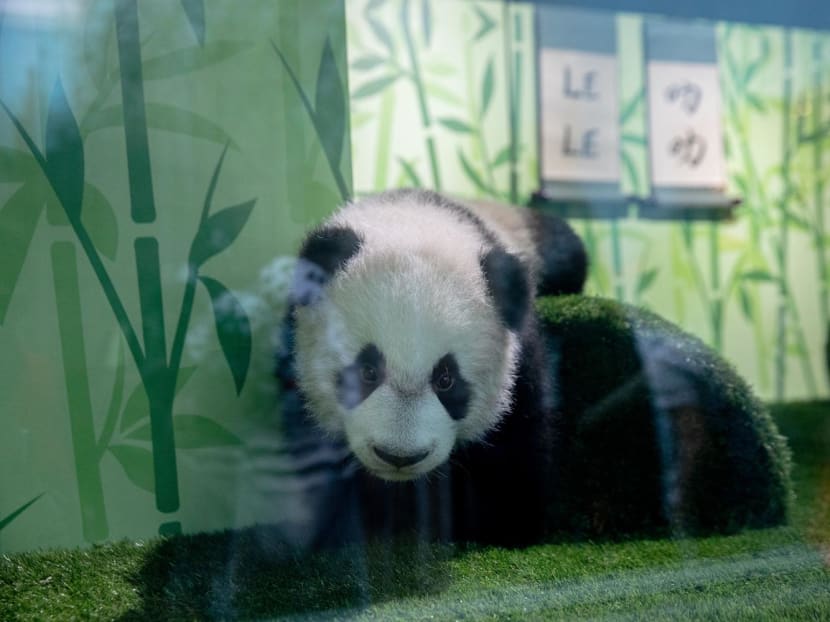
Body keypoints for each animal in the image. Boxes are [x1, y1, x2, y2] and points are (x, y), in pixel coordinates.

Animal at [283, 188, 587, 547]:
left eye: (446, 379)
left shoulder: (517, 358)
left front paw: (502, 527)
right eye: (367, 371)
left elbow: (516, 443)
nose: (399, 457)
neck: (418, 216)